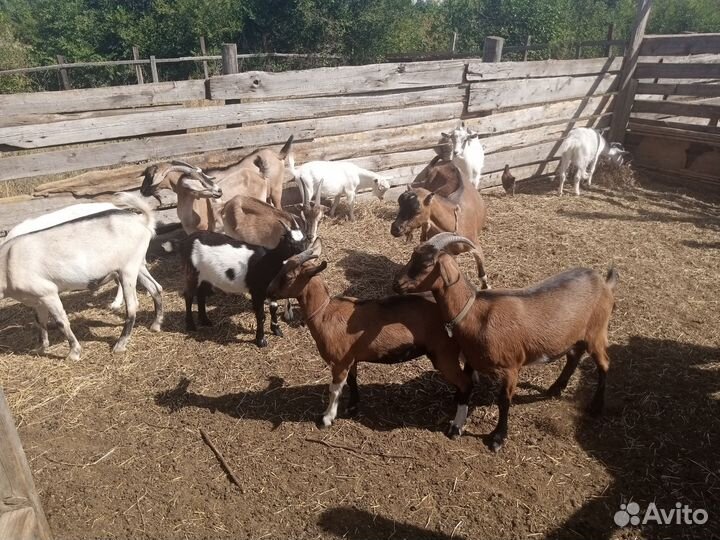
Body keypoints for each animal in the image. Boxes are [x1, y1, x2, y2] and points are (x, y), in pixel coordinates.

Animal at [266, 238, 473, 434]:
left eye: (289, 276)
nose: (269, 291)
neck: (325, 313)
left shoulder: (339, 362)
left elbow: (334, 389)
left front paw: (327, 418)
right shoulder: (351, 359)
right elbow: (352, 381)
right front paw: (352, 408)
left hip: (444, 354)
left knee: (465, 382)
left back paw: (456, 427)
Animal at [393, 232, 618, 451]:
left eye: (426, 264)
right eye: (413, 254)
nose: (397, 284)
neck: (475, 314)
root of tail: (604, 282)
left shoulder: (511, 367)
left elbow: (503, 401)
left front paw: (497, 439)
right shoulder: (471, 359)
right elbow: (465, 384)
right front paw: (457, 417)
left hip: (597, 331)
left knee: (604, 363)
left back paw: (595, 407)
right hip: (577, 334)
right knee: (574, 356)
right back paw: (555, 389)